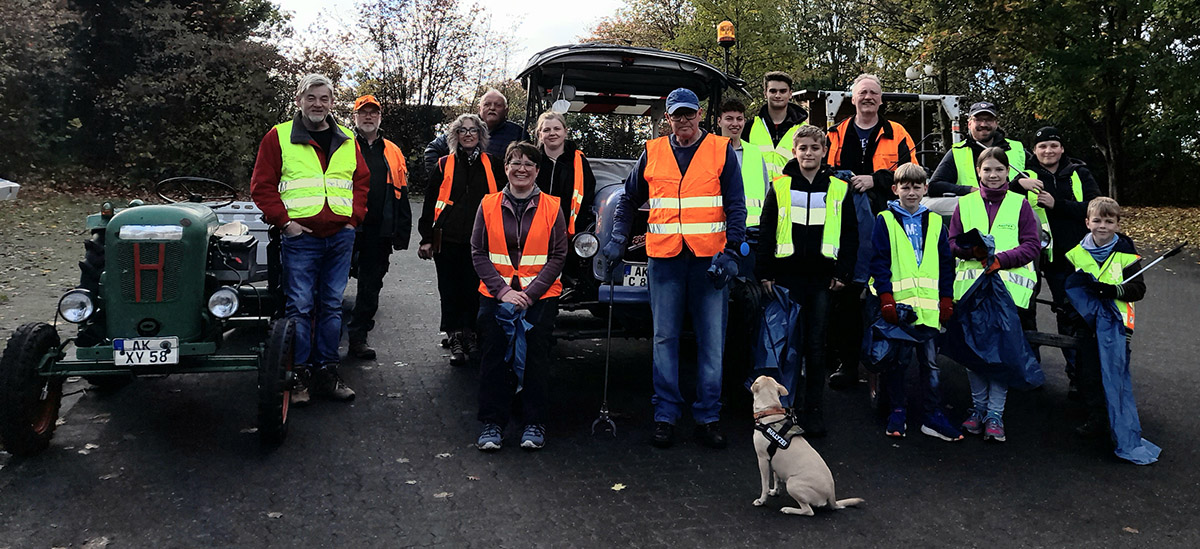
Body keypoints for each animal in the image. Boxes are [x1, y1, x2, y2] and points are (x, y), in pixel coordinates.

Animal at [748, 376, 864, 517]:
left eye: (756, 380)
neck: (770, 412)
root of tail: (832, 495)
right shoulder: (774, 461)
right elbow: (776, 478)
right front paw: (775, 491)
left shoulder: (763, 459)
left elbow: (764, 484)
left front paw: (761, 500)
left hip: (792, 484)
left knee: (808, 511)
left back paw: (788, 509)